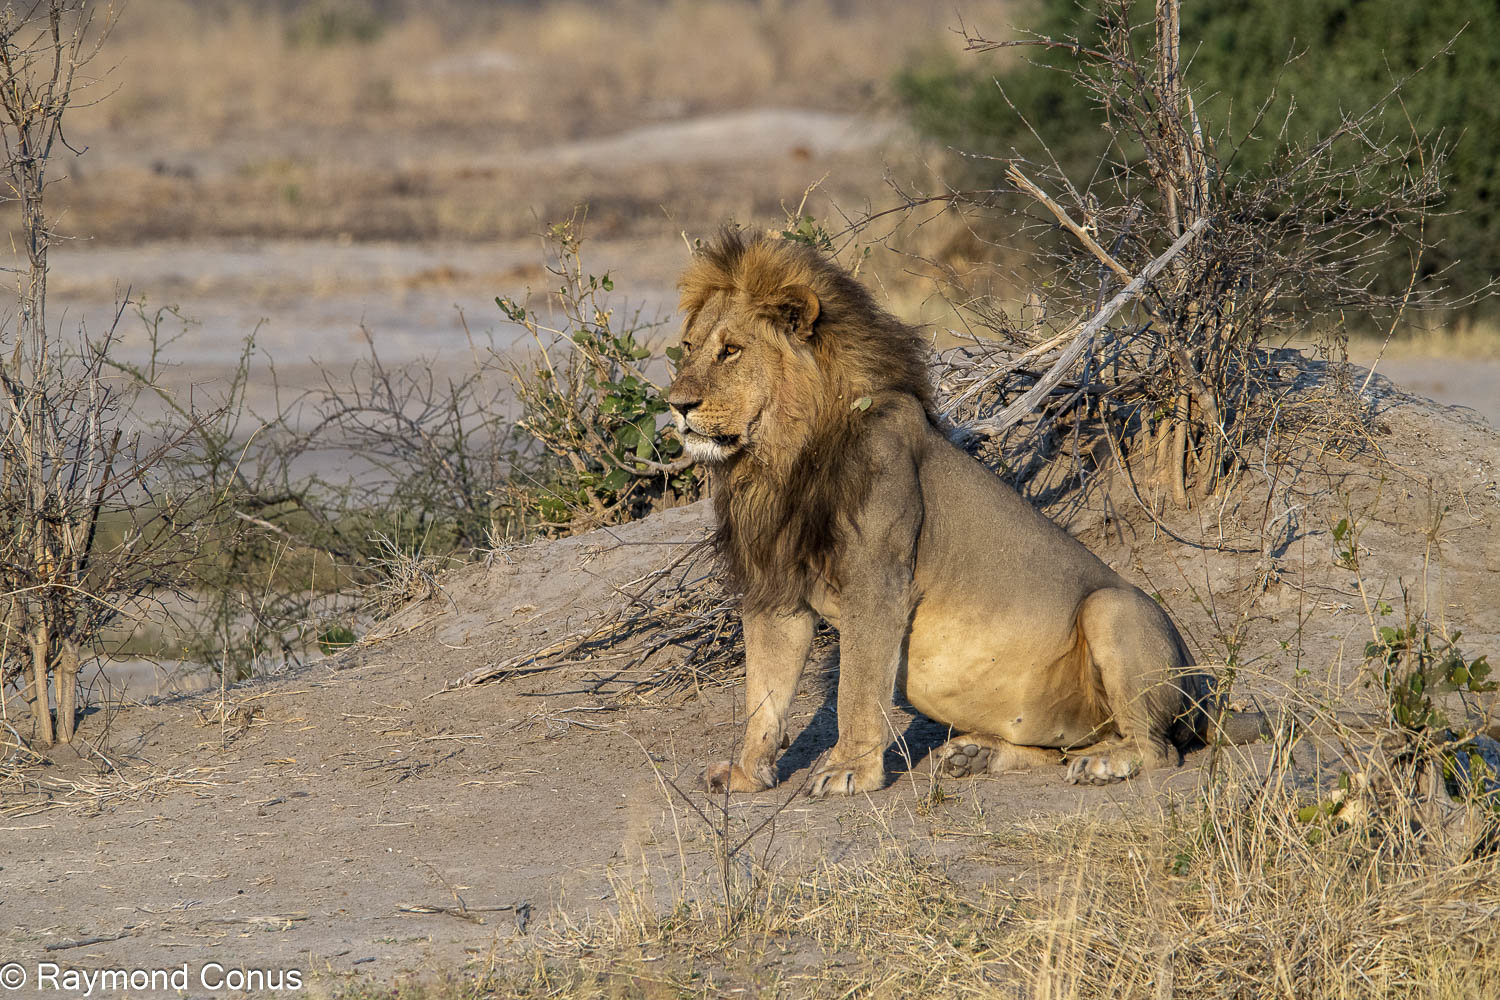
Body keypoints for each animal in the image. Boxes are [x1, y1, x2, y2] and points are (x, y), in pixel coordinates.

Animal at [667, 229, 1263, 797]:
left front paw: (849, 770)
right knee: (1066, 747)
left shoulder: (877, 581)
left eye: (731, 351)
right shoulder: (777, 590)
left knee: (1157, 749)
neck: (778, 461)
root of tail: (1203, 693)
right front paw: (746, 774)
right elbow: (763, 695)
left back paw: (1106, 763)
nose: (676, 405)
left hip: (1112, 609)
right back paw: (979, 755)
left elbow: (856, 688)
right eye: (689, 348)